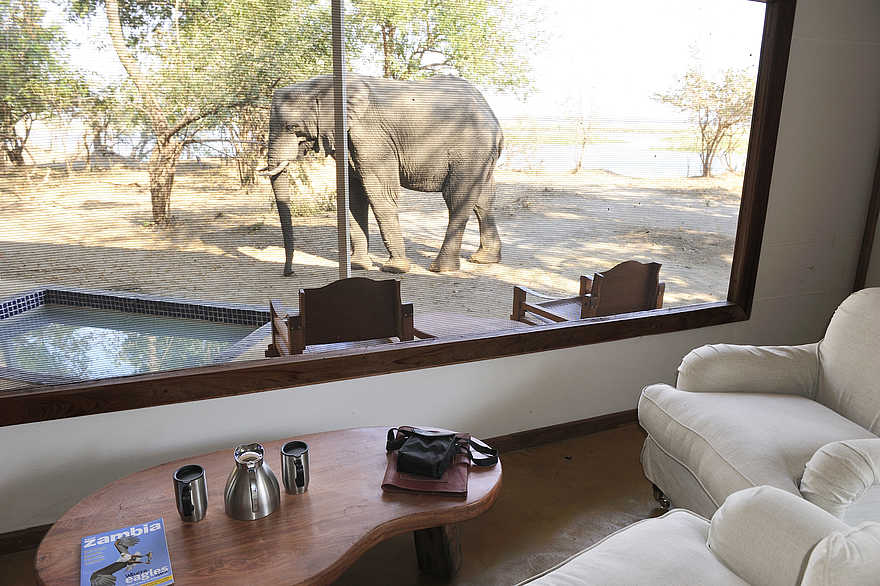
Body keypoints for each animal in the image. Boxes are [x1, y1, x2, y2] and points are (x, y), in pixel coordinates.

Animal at [260, 74, 503, 275]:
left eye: (292, 127)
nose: (289, 272)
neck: (321, 85)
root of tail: (491, 114)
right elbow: (354, 197)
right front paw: (358, 266)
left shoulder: (372, 137)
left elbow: (381, 194)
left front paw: (395, 269)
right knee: (483, 201)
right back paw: (483, 259)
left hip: (470, 149)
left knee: (457, 199)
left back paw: (441, 269)